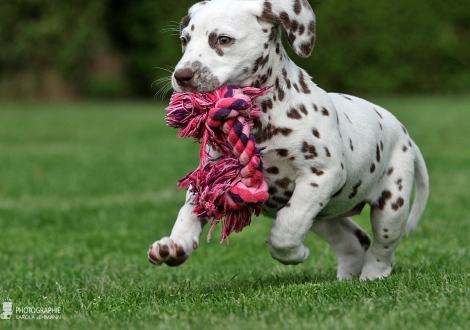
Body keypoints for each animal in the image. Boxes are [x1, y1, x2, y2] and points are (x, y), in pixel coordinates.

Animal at [148, 0, 430, 282]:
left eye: (223, 39)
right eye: (184, 40)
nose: (181, 76)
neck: (259, 121)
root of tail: (404, 133)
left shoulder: (321, 176)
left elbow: (286, 228)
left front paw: (295, 254)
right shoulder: (212, 176)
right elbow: (188, 212)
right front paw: (174, 244)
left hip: (390, 207)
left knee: (382, 249)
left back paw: (372, 277)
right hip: (326, 216)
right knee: (353, 242)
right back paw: (344, 280)